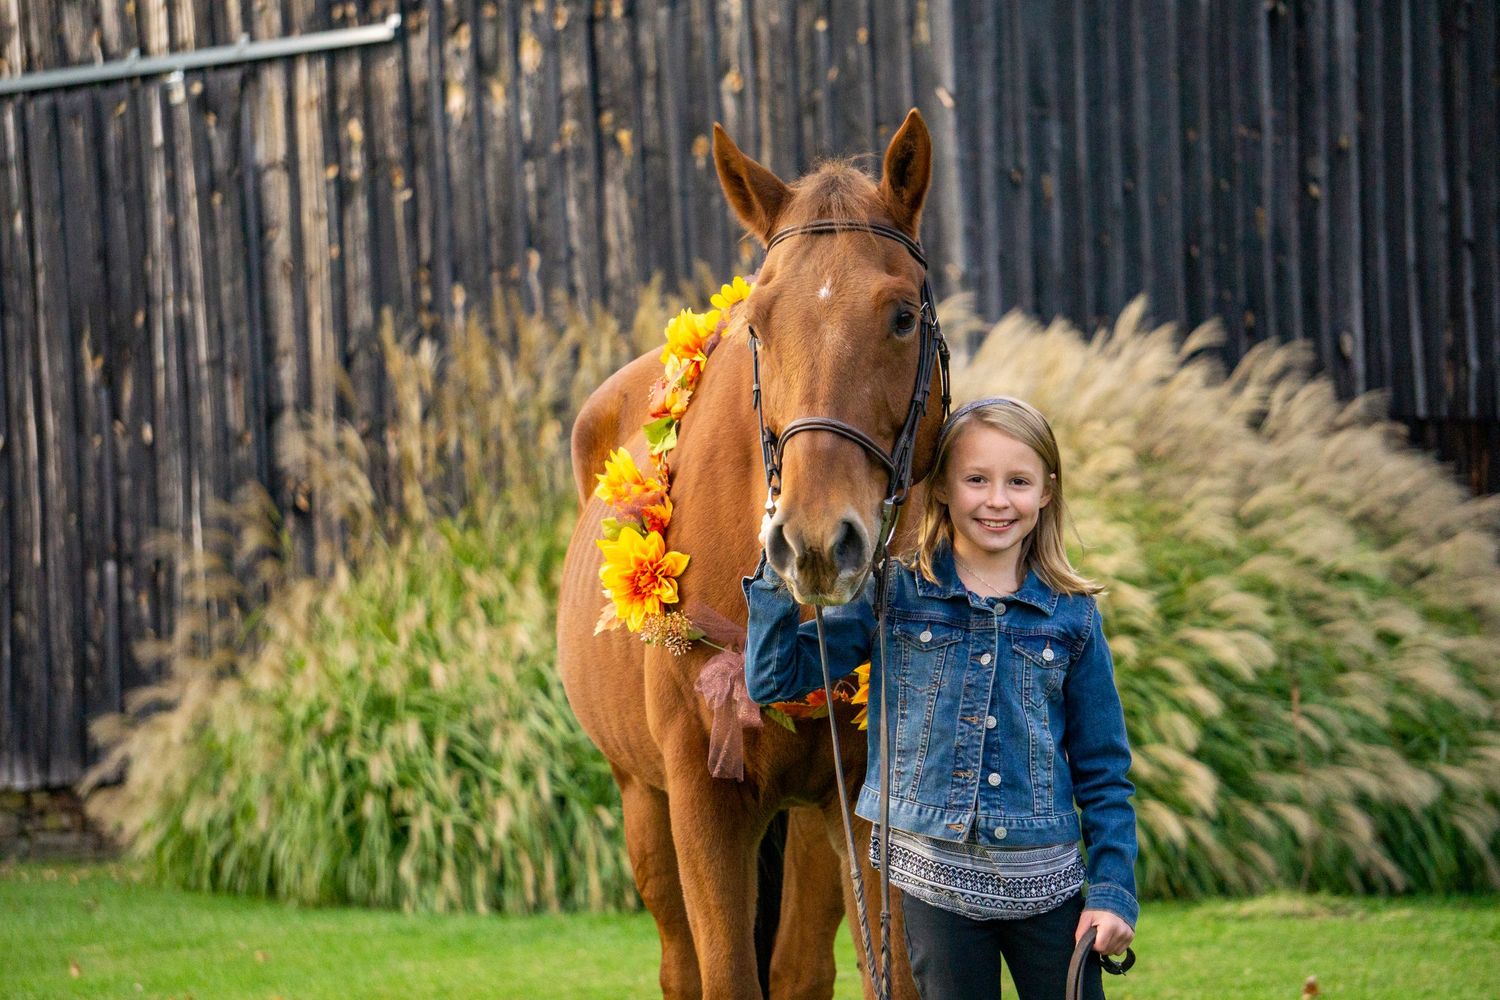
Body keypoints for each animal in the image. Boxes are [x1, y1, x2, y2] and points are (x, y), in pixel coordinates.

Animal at [557, 109, 947, 1000]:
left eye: (903, 316)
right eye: (759, 326)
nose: (816, 541)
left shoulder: (865, 800)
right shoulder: (702, 799)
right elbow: (725, 975)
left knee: (799, 967)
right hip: (643, 807)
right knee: (682, 967)